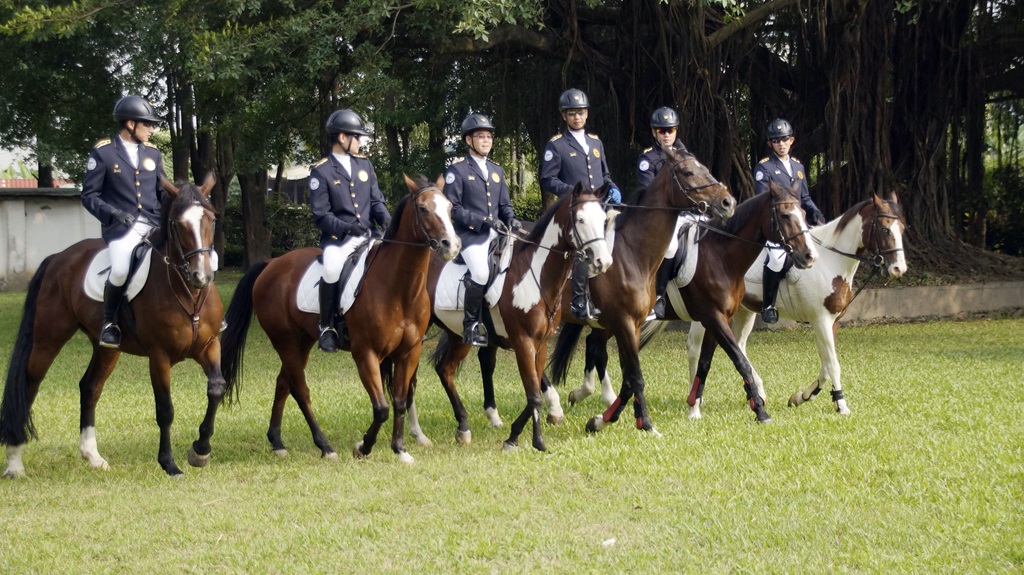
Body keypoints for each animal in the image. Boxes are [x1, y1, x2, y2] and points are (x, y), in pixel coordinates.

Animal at [0, 173, 225, 477]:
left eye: (211, 220)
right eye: (178, 224)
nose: (202, 276)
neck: (188, 292)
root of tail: (58, 257)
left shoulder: (209, 346)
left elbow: (216, 389)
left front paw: (200, 451)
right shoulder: (159, 356)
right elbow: (165, 409)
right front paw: (169, 464)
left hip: (106, 347)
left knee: (90, 387)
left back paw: (93, 456)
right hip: (47, 338)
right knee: (29, 384)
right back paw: (15, 462)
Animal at [218, 175, 460, 463]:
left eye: (449, 207)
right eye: (423, 208)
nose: (451, 245)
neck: (399, 288)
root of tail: (271, 264)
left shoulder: (409, 352)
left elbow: (399, 402)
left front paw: (400, 450)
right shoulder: (366, 354)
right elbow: (381, 407)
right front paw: (363, 447)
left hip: (302, 341)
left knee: (284, 383)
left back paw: (277, 442)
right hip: (284, 340)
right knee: (300, 389)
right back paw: (325, 446)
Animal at [406, 182, 613, 452]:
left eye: (603, 219)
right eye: (580, 219)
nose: (603, 262)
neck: (535, 275)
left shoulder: (541, 344)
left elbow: (535, 389)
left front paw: (516, 435)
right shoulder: (523, 342)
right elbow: (534, 394)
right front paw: (535, 441)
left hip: (458, 335)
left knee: (445, 370)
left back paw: (463, 427)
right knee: (411, 379)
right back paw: (417, 432)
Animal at [552, 178, 818, 428]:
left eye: (803, 214)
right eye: (785, 215)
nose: (808, 256)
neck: (721, 256)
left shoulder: (718, 319)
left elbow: (705, 363)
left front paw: (694, 405)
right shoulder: (714, 318)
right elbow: (739, 360)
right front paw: (760, 410)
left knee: (593, 345)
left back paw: (588, 395)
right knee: (596, 348)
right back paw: (597, 398)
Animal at [683, 192, 906, 416]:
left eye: (902, 228)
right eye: (885, 229)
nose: (899, 269)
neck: (830, 261)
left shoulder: (832, 322)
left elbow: (826, 367)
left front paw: (802, 397)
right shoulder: (820, 320)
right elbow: (833, 365)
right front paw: (841, 405)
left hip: (744, 311)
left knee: (739, 345)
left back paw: (756, 394)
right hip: (707, 314)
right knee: (694, 347)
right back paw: (696, 400)